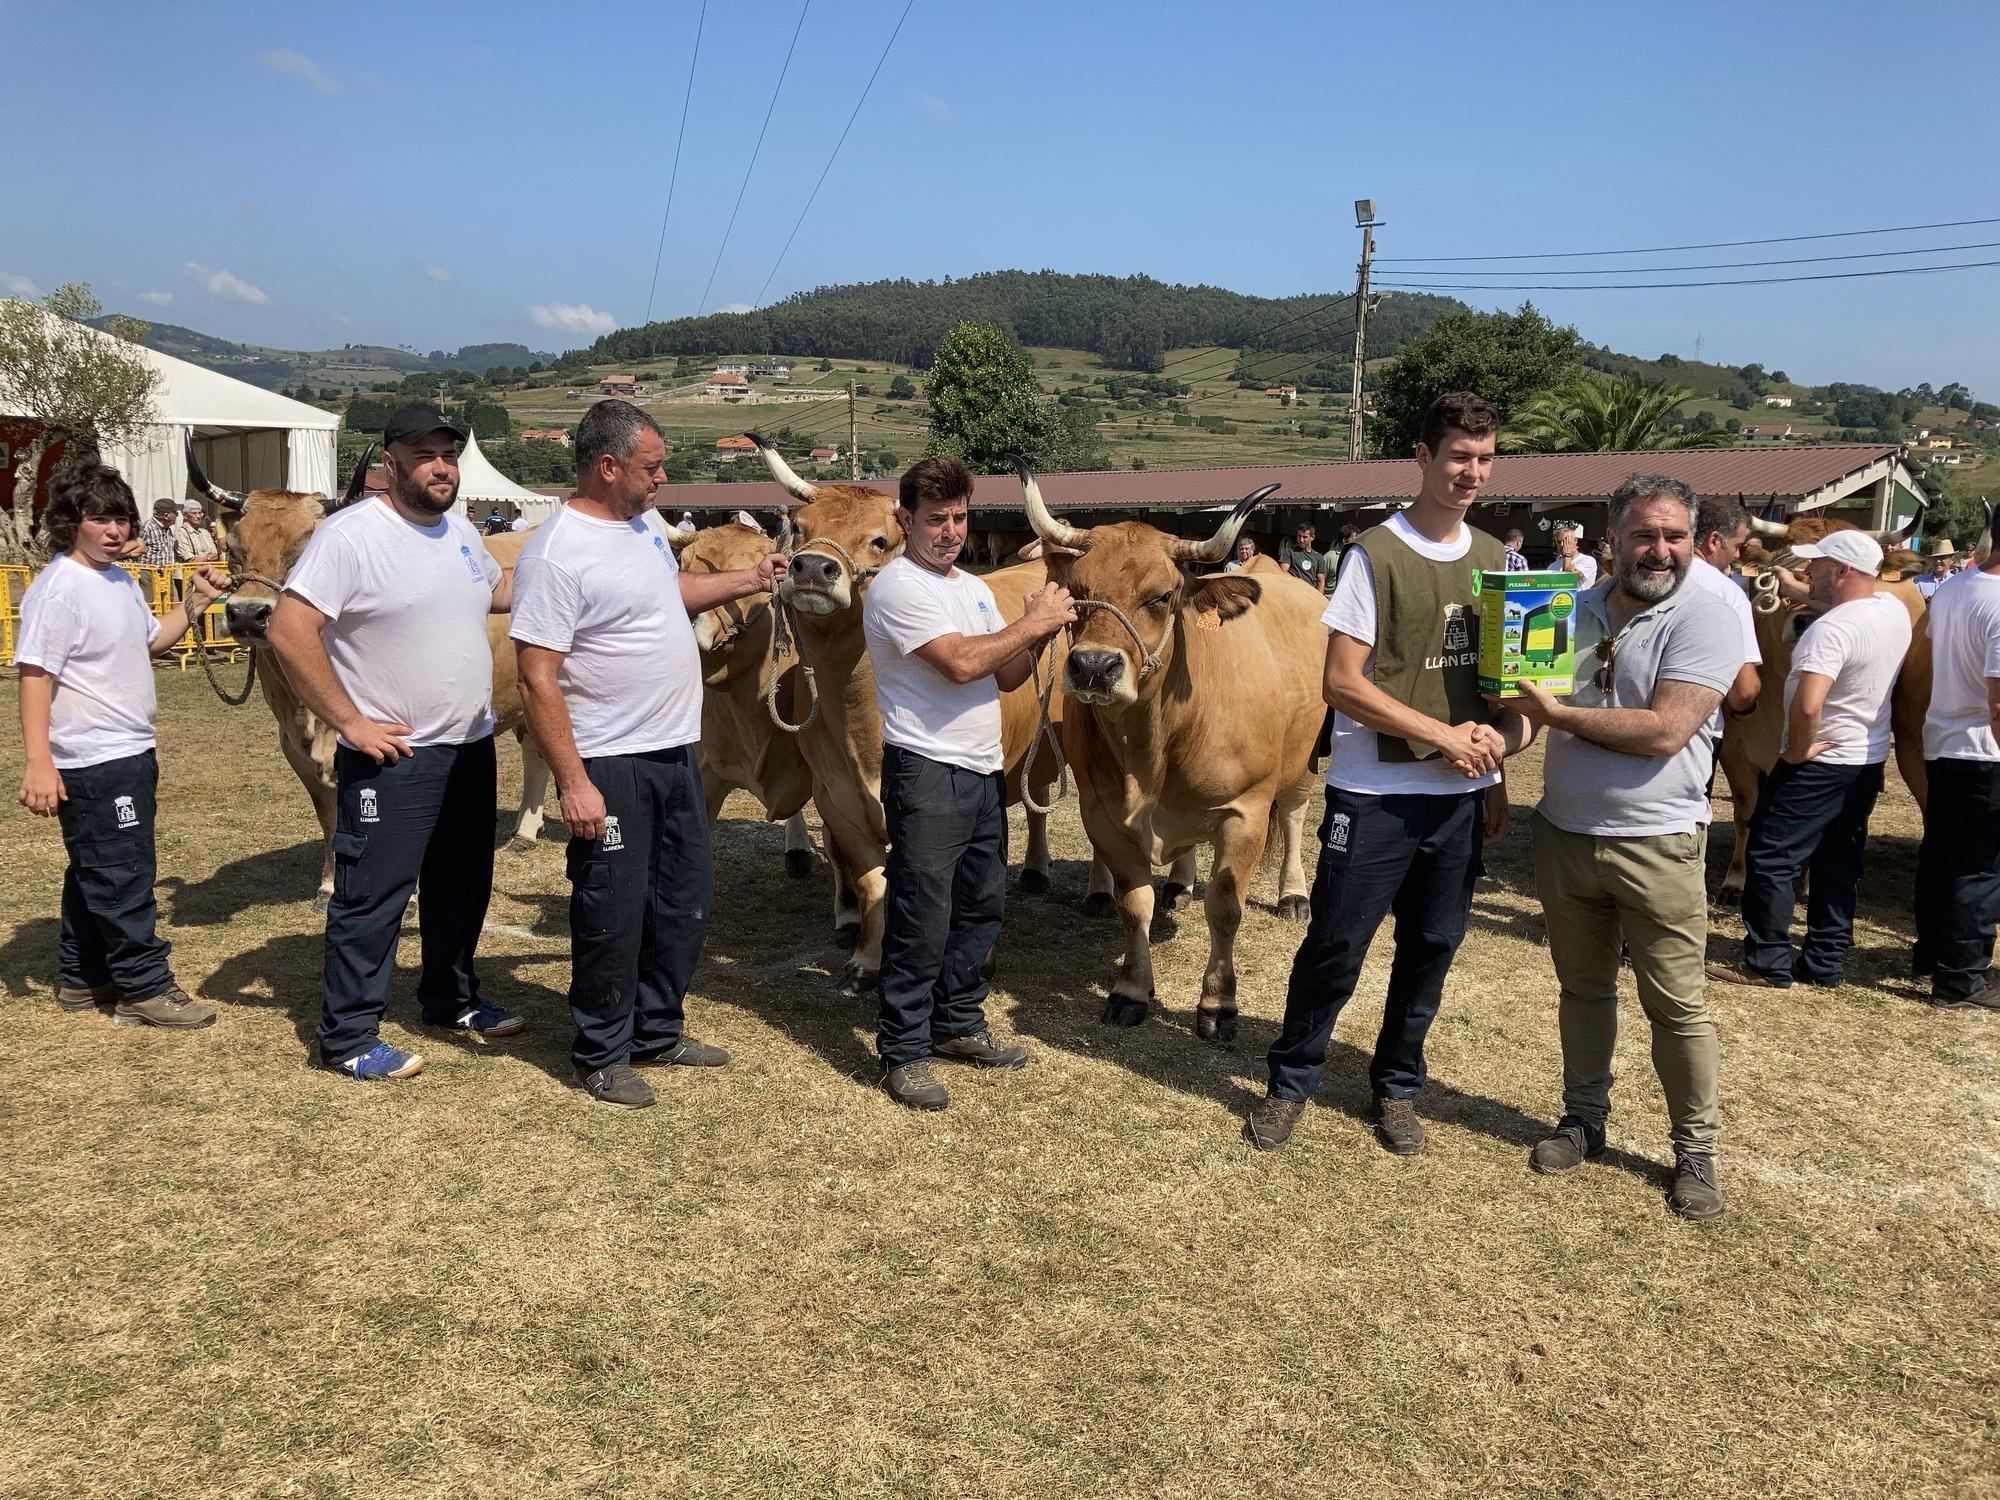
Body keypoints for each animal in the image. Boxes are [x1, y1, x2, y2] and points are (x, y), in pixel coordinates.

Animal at [1016, 464, 1328, 1040]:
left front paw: (1218, 1004)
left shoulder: (1246, 812)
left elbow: (1225, 908)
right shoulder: (1102, 812)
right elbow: (1133, 903)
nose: (1093, 667)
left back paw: (1293, 895)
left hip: (1304, 760)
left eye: (1161, 597)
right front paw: (1131, 990)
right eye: (1077, 592)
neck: (1153, 749)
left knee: (1295, 816)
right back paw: (1179, 885)